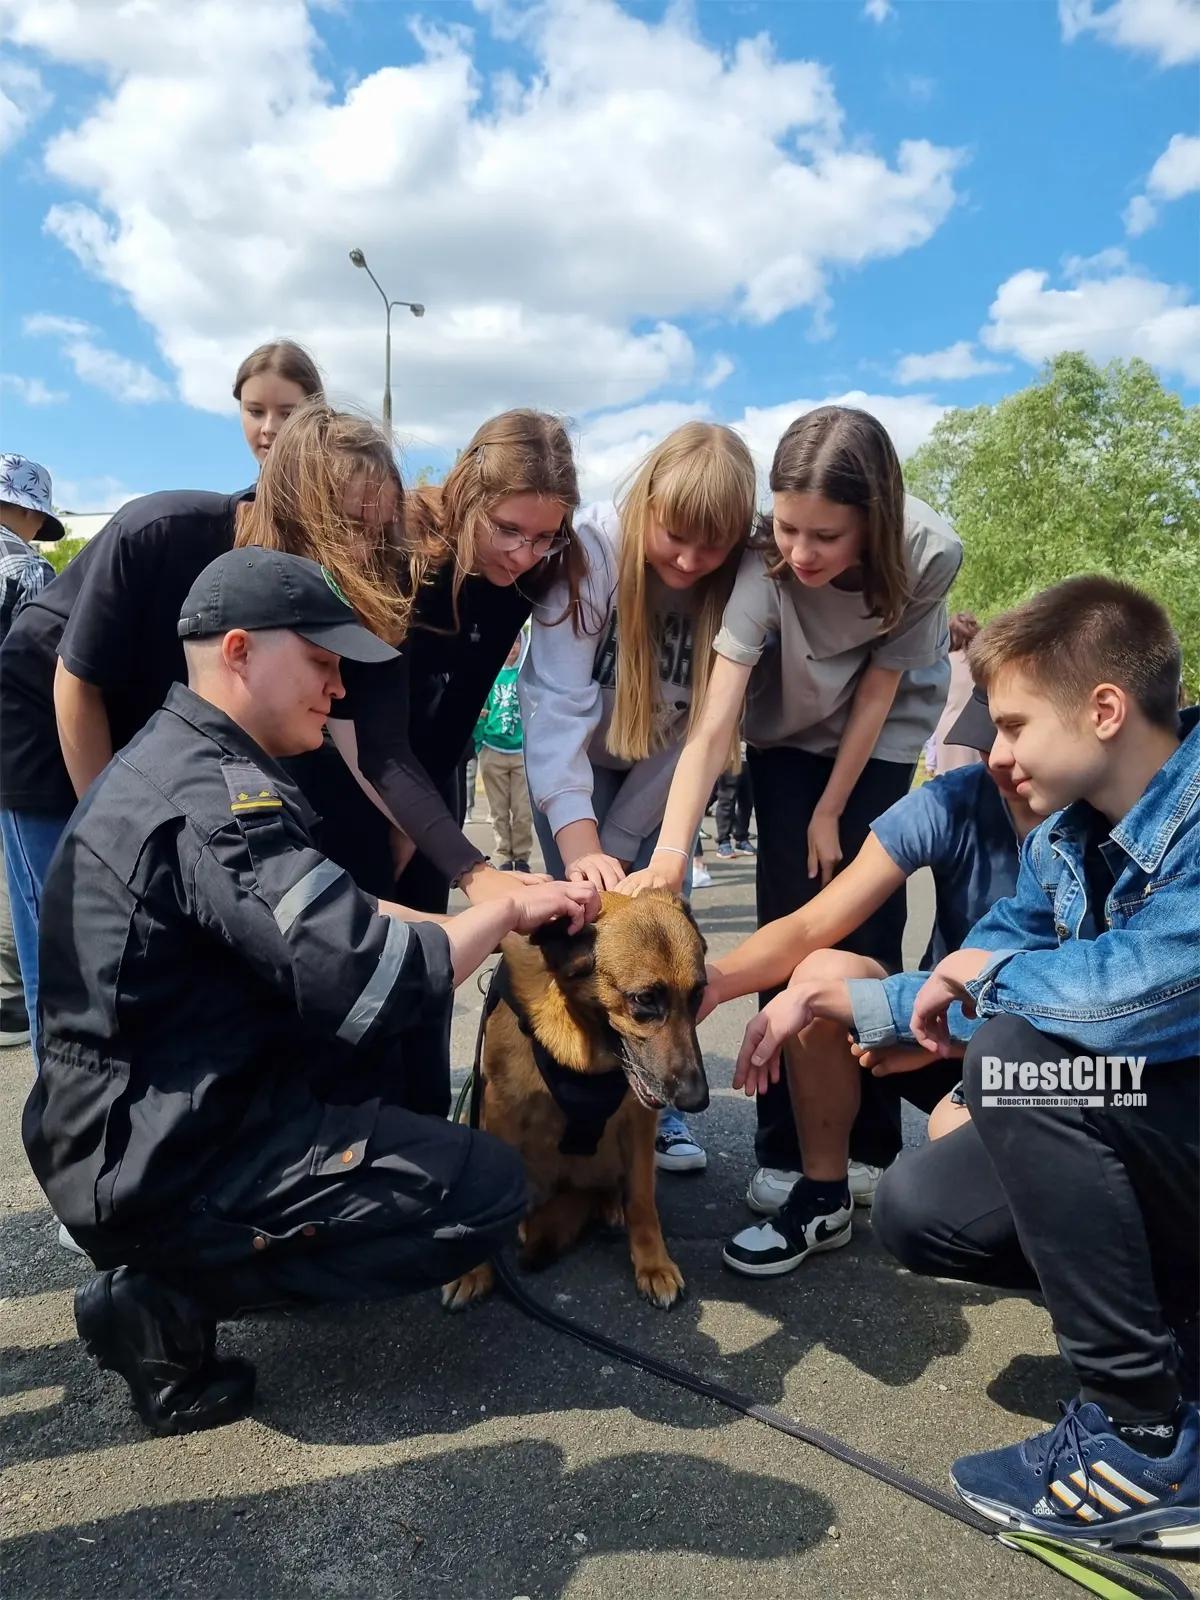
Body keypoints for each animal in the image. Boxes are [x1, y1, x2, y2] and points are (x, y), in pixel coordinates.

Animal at [444, 889, 710, 1312]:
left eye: (698, 994)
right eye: (644, 999)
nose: (696, 1099)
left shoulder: (638, 1122)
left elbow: (642, 1199)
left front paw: (653, 1265)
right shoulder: (500, 1111)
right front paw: (474, 1271)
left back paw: (609, 1205)